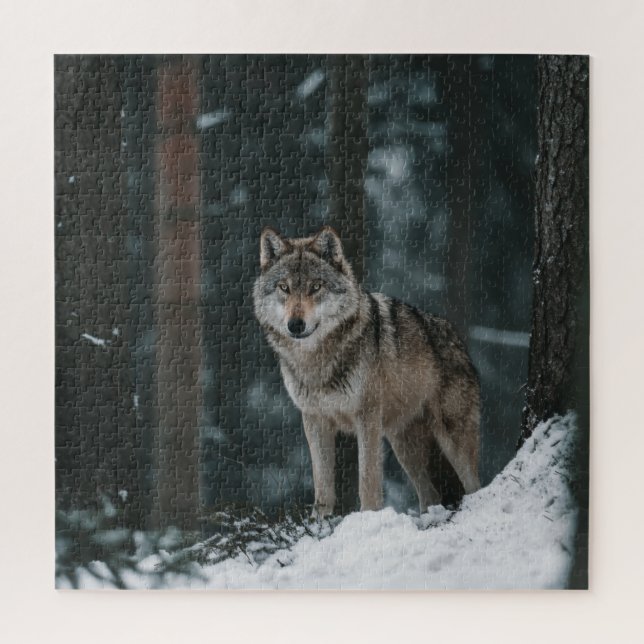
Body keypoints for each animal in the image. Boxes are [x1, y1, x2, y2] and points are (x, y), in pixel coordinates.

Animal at [253, 226, 480, 517]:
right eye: (284, 287)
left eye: (316, 287)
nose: (295, 324)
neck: (317, 362)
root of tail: (459, 340)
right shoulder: (314, 420)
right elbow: (322, 484)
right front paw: (320, 521)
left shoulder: (367, 417)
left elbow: (368, 480)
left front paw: (367, 517)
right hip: (405, 446)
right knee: (430, 495)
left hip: (452, 440)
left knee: (474, 486)